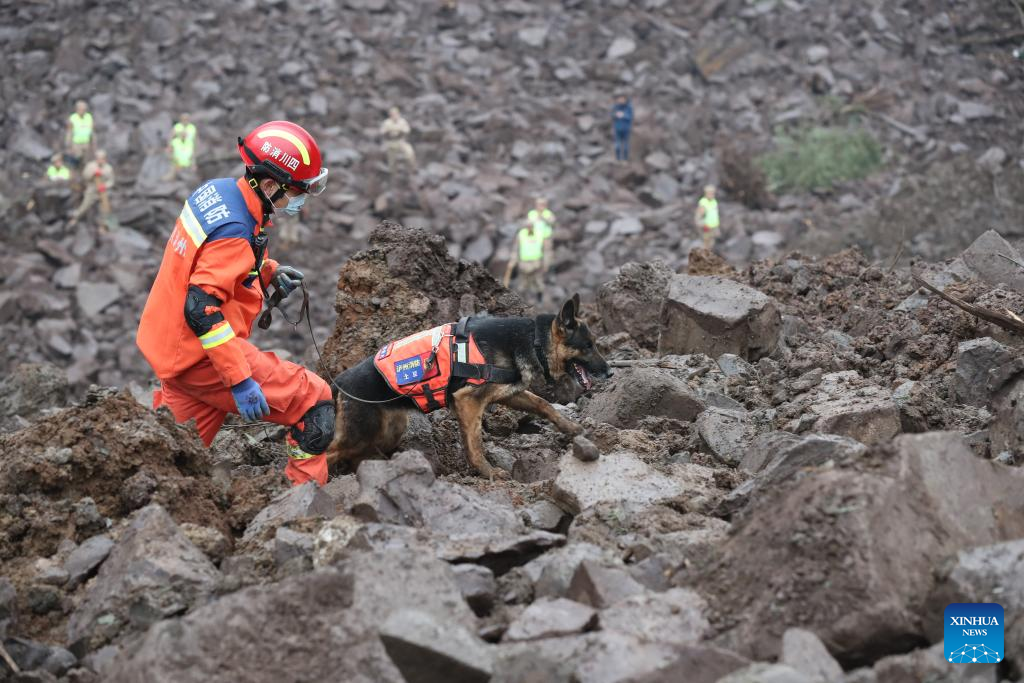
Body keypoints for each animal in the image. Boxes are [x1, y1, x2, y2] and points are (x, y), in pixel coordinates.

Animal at [323, 296, 606, 479]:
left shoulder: (509, 393)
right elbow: (475, 444)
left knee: (358, 456)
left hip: (389, 429)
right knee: (325, 455)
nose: (610, 371)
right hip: (359, 434)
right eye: (588, 345)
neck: (533, 339)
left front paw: (571, 428)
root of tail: (337, 383)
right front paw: (489, 472)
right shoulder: (468, 401)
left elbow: (544, 404)